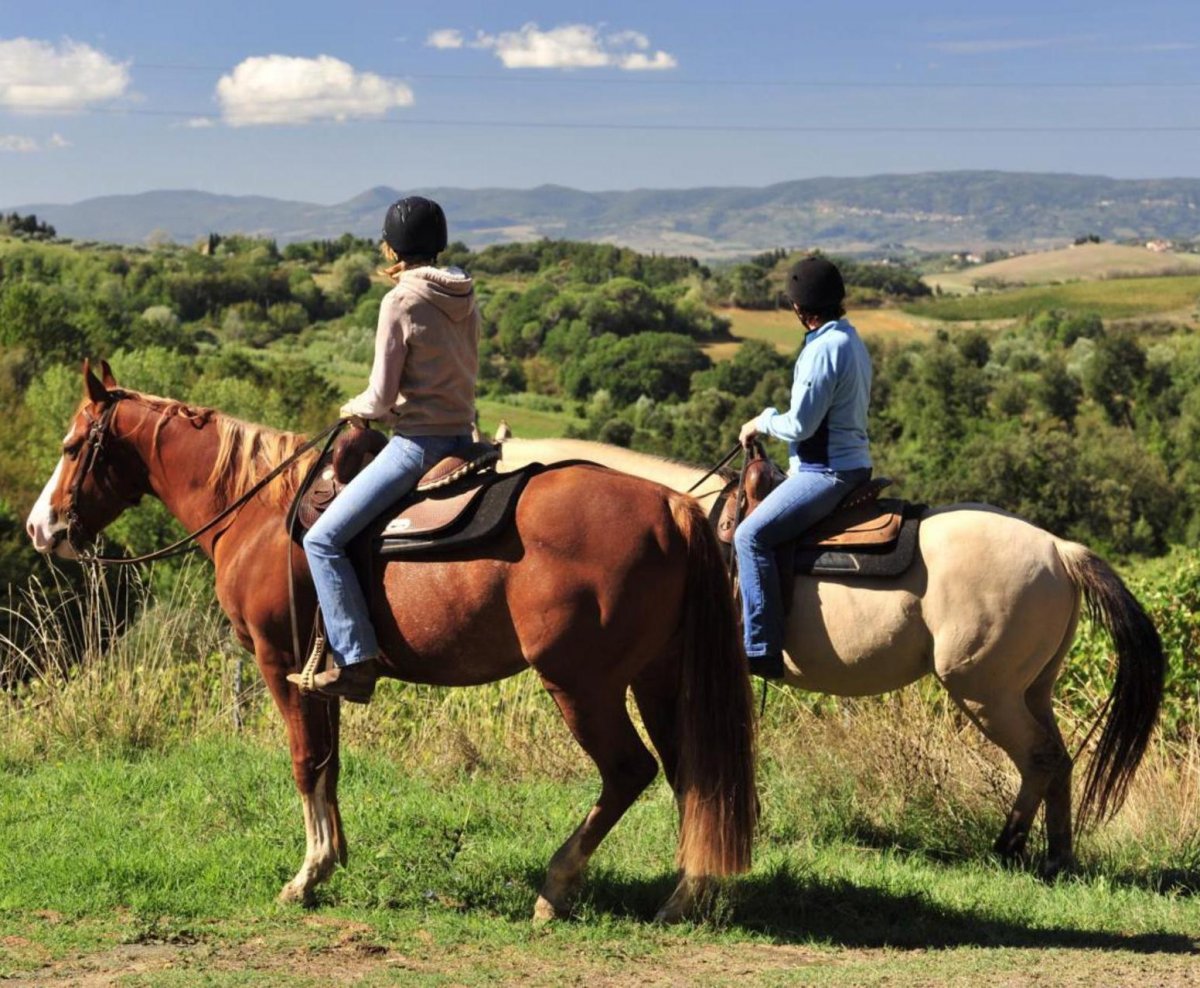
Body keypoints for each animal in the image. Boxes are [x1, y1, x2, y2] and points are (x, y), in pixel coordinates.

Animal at [23, 367, 753, 921]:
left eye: (71, 446)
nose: (39, 528)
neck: (259, 512)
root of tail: (672, 509)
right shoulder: (324, 673)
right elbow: (331, 762)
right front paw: (333, 857)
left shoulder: (279, 663)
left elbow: (306, 762)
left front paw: (307, 875)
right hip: (657, 677)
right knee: (692, 774)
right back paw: (686, 895)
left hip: (581, 683)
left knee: (630, 771)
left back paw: (557, 887)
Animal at [496, 436, 1161, 878]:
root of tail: (1059, 549)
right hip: (1031, 688)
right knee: (1060, 759)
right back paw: (1058, 856)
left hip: (985, 690)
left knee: (1039, 758)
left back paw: (1009, 848)